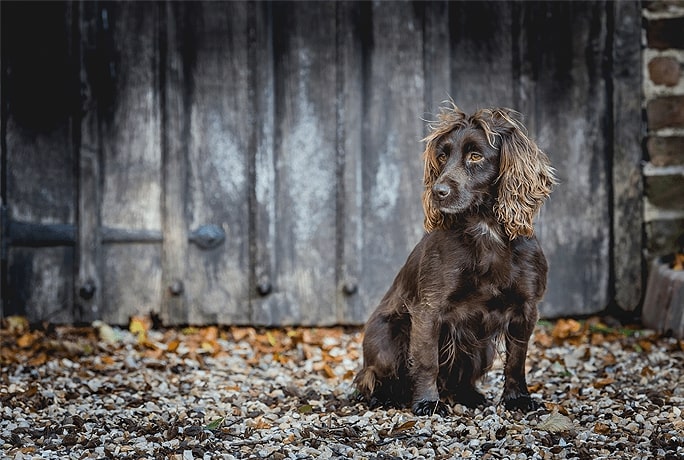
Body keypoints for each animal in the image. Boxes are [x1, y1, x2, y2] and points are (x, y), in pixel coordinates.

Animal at [352, 104, 556, 416]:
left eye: (476, 156)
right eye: (442, 156)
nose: (438, 192)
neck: (486, 230)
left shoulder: (526, 308)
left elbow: (517, 359)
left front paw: (517, 398)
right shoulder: (428, 309)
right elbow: (427, 361)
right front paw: (427, 402)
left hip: (482, 348)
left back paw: (469, 396)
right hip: (388, 340)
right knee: (371, 377)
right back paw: (384, 398)